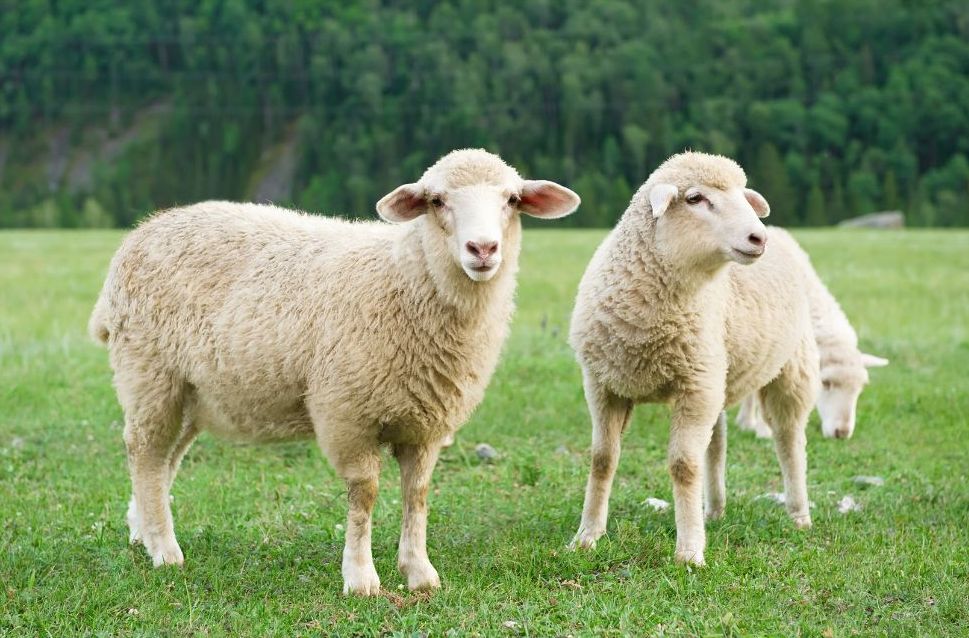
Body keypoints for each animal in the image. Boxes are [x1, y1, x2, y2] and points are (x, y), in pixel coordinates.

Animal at [88, 149, 580, 595]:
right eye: (437, 200)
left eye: (513, 199)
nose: (483, 249)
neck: (406, 279)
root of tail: (141, 233)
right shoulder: (347, 414)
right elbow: (364, 494)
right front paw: (361, 579)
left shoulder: (426, 423)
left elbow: (417, 493)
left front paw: (419, 572)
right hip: (149, 373)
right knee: (145, 452)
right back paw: (164, 550)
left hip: (192, 392)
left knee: (164, 461)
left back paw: (143, 529)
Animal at [568, 152, 819, 567]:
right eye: (695, 199)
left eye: (743, 196)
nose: (758, 238)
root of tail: (784, 235)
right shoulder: (603, 385)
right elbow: (602, 459)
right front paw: (587, 536)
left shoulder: (694, 387)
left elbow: (684, 466)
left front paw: (689, 551)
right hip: (717, 375)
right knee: (716, 446)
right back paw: (713, 510)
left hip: (789, 368)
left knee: (789, 440)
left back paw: (799, 514)